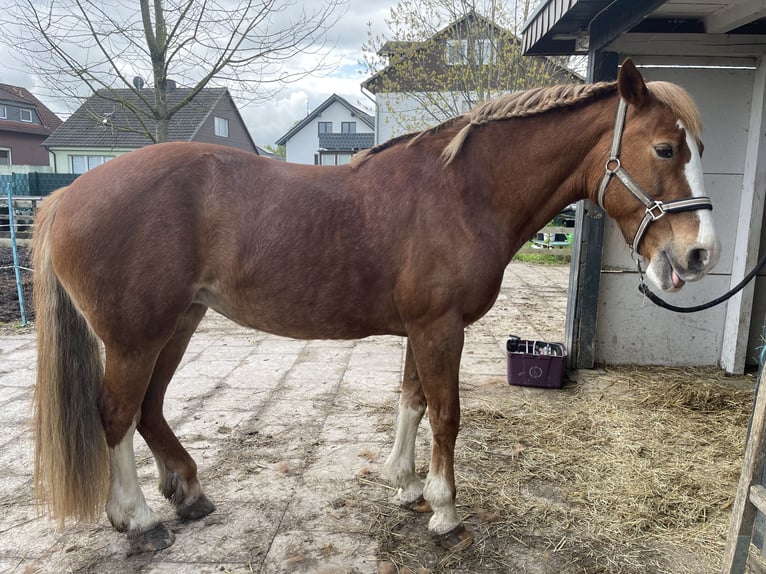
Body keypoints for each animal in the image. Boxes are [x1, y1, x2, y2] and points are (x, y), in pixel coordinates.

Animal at [34, 59, 720, 552]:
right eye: (665, 149)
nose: (699, 254)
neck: (464, 191)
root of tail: (67, 193)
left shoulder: (422, 329)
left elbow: (412, 402)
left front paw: (408, 485)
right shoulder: (441, 328)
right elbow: (446, 415)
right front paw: (445, 512)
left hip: (177, 323)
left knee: (148, 408)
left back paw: (188, 494)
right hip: (134, 336)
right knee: (116, 414)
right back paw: (139, 521)